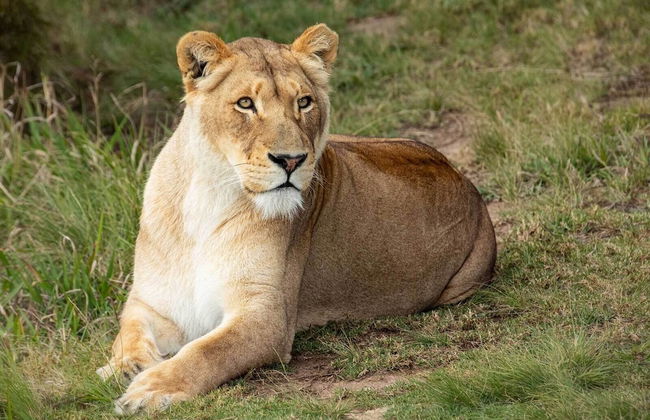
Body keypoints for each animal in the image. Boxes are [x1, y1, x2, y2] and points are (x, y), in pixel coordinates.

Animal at [97, 24, 496, 414]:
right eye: (245, 103)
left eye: (304, 102)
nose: (290, 160)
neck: (209, 194)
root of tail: (462, 178)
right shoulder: (152, 302)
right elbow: (127, 334)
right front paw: (125, 367)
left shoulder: (266, 317)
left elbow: (207, 351)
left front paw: (150, 388)